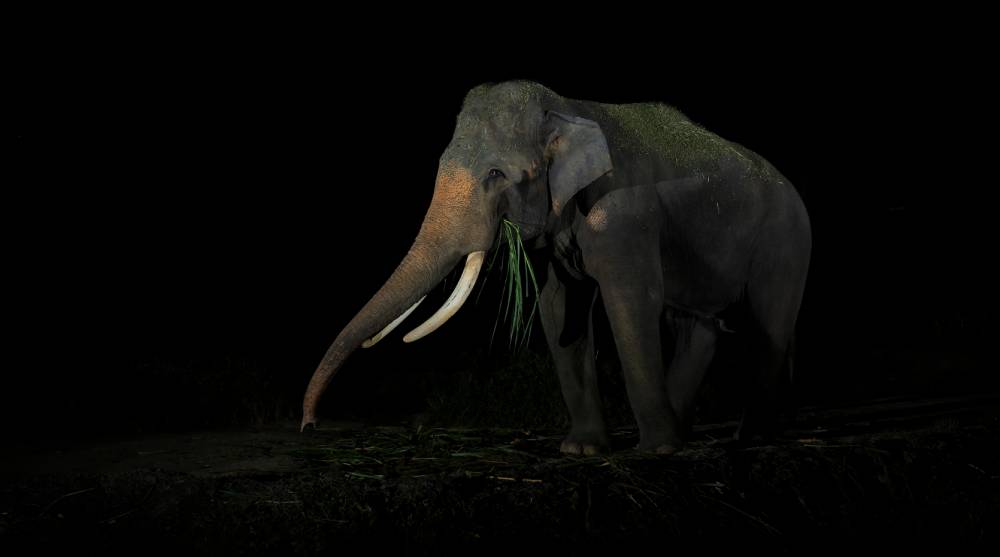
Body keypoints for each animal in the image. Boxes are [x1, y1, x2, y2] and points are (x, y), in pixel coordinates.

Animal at [302, 80, 811, 455]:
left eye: (496, 175)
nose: (309, 425)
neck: (567, 108)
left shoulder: (624, 213)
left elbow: (630, 303)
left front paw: (656, 452)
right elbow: (559, 307)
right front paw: (581, 451)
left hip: (786, 240)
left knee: (769, 323)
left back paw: (746, 437)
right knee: (698, 328)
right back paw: (690, 434)